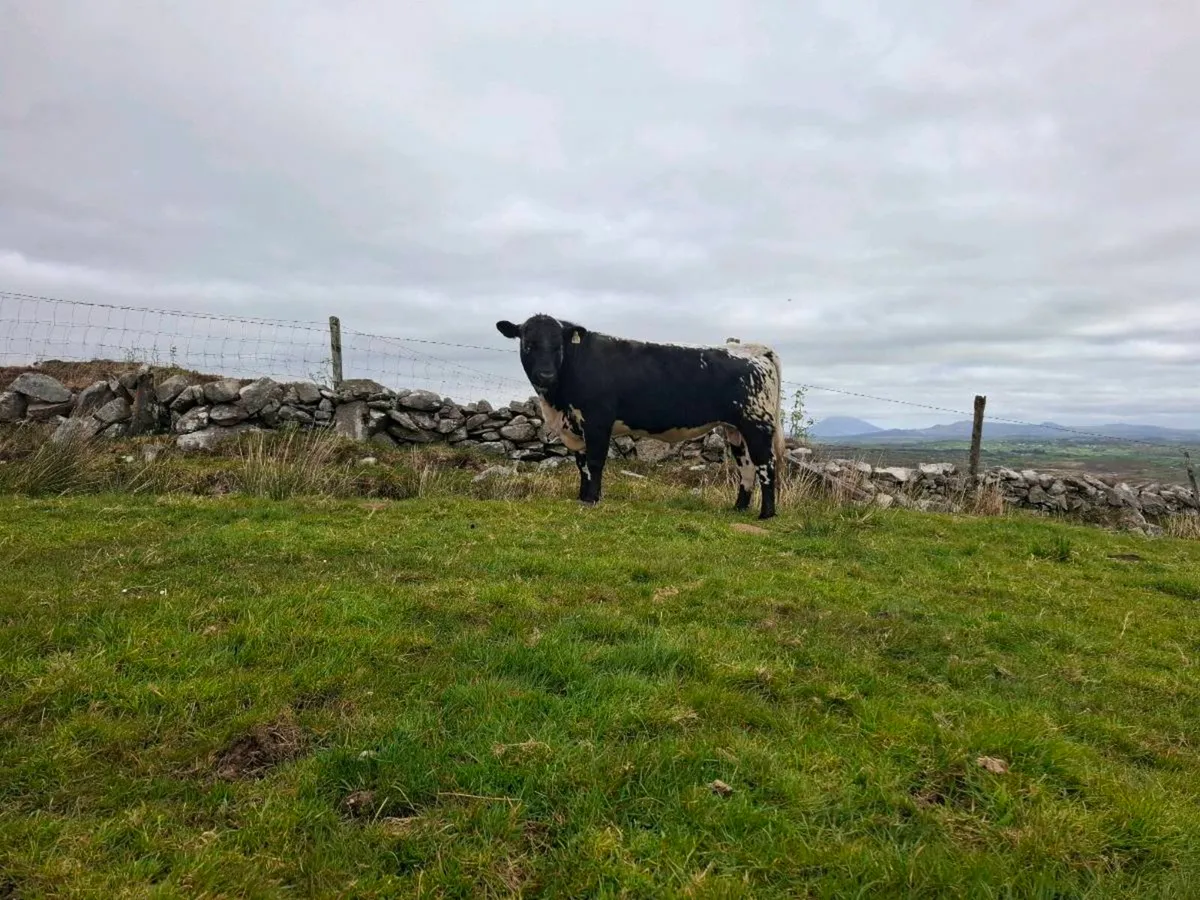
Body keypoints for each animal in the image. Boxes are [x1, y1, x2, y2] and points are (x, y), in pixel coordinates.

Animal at [495, 314, 787, 519]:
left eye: (558, 346)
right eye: (528, 344)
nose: (545, 375)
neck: (557, 405)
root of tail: (754, 348)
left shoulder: (598, 420)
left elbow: (595, 462)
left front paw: (592, 499)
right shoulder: (577, 426)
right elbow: (582, 465)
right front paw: (582, 496)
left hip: (757, 423)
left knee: (766, 464)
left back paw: (766, 514)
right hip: (736, 429)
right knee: (746, 466)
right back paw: (738, 508)